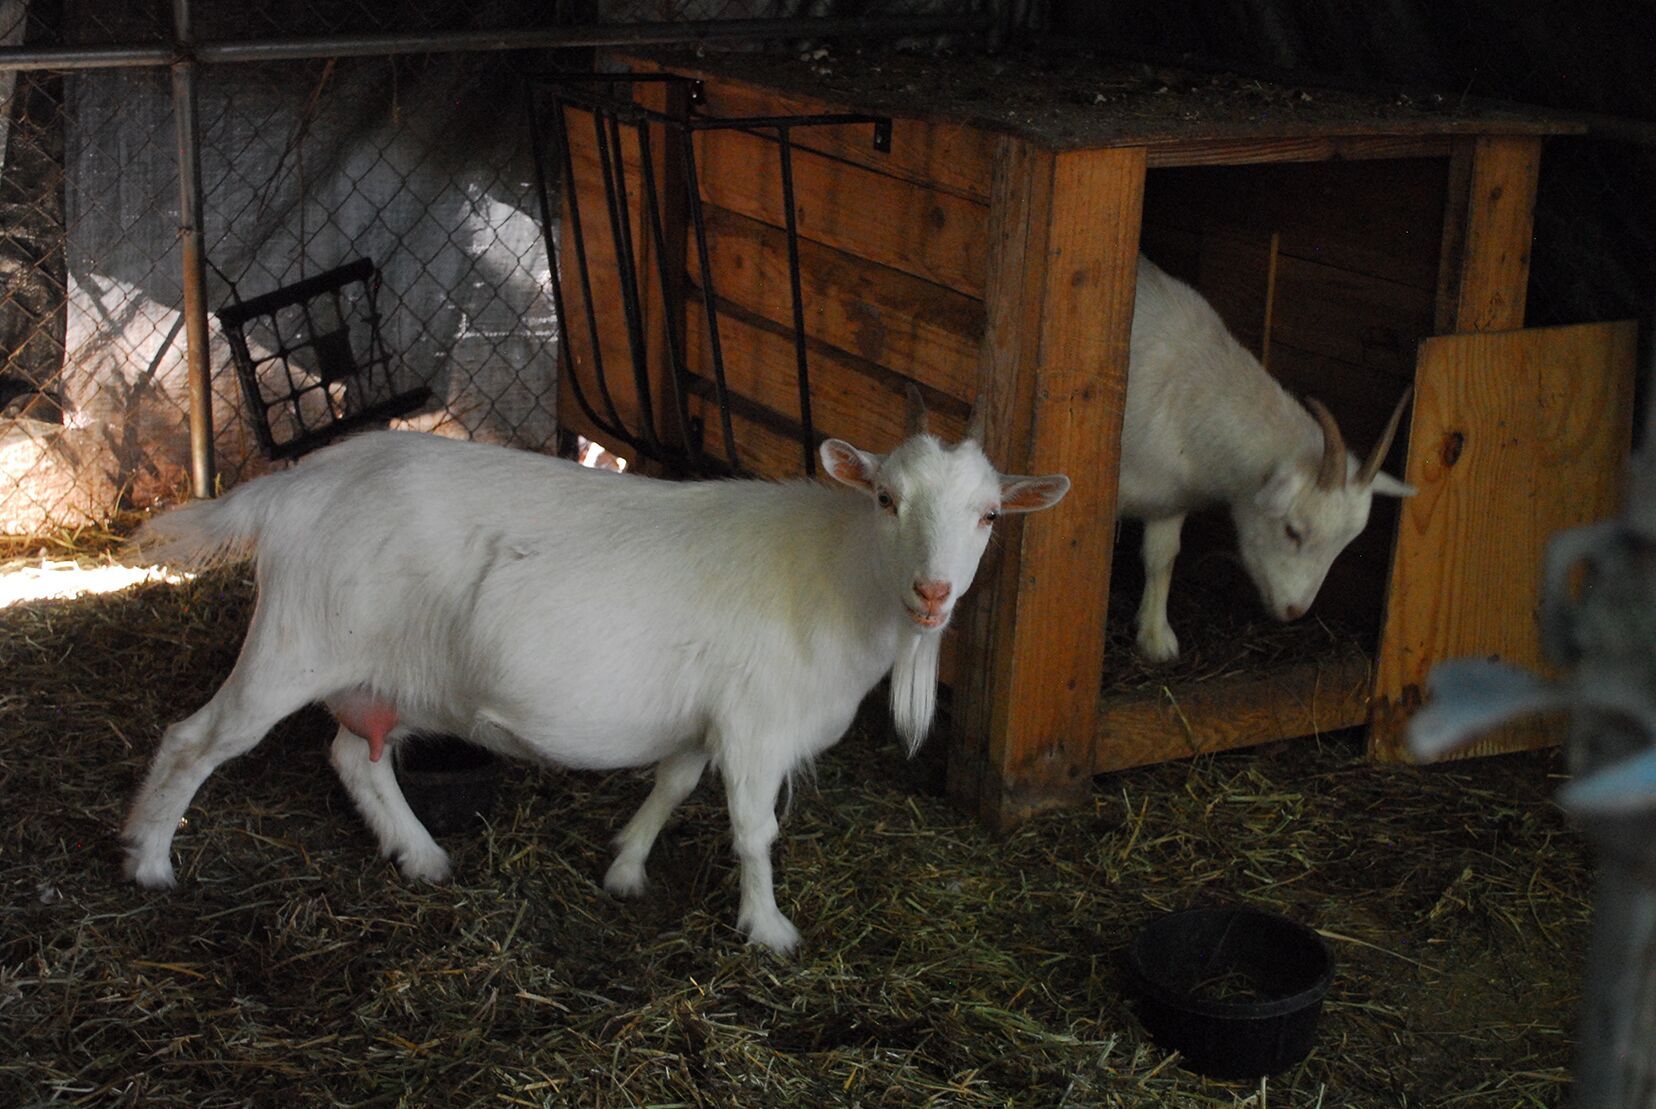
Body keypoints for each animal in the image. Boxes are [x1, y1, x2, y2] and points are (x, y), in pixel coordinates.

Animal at [120, 391, 1070, 953]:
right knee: (194, 739)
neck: (838, 576)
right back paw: (149, 860)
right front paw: (768, 929)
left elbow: (673, 783)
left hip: (386, 673)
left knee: (358, 756)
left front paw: (625, 868)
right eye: (884, 498)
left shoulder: (707, 719)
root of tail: (291, 485)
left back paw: (422, 855)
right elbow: (753, 830)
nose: (933, 592)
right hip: (292, 643)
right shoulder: (756, 725)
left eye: (990, 515)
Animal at [1119, 255, 1416, 661]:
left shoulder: (1168, 499)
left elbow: (1162, 558)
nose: (1294, 611)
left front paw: (1155, 637)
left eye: (1346, 544)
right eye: (1292, 530)